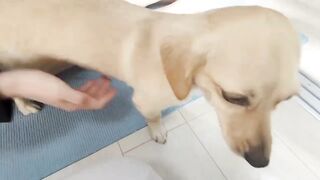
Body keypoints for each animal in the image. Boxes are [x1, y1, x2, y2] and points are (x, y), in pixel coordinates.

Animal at [0, 0, 300, 168]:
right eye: (233, 97)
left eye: (283, 101)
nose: (260, 162)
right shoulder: (145, 101)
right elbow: (154, 117)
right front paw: (158, 131)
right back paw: (25, 105)